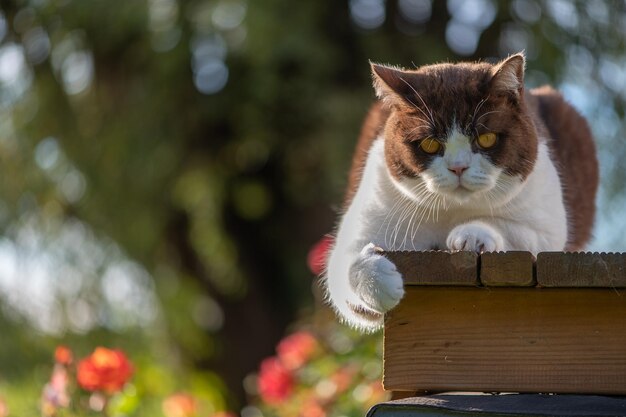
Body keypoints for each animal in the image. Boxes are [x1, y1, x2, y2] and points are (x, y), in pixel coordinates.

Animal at [324, 52, 596, 332]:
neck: (452, 209)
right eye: (429, 144)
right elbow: (344, 263)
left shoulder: (546, 223)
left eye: (486, 138)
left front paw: (471, 236)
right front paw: (380, 284)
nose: (458, 167)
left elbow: (517, 230)